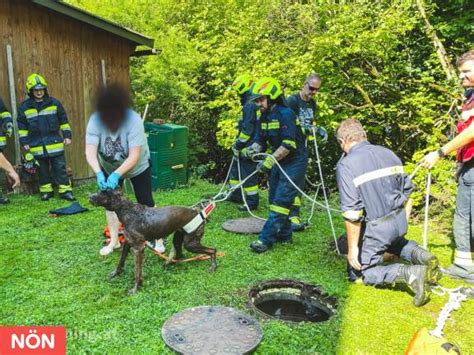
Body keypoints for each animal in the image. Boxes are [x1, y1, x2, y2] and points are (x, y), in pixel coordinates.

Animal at [90, 191, 218, 296]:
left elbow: (137, 273)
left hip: (190, 244)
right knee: (179, 255)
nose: (89, 196)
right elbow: (120, 262)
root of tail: (199, 213)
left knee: (213, 250)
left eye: (103, 192)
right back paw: (169, 264)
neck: (127, 210)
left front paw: (135, 288)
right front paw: (116, 273)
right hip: (178, 239)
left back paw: (213, 266)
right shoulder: (127, 243)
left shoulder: (138, 249)